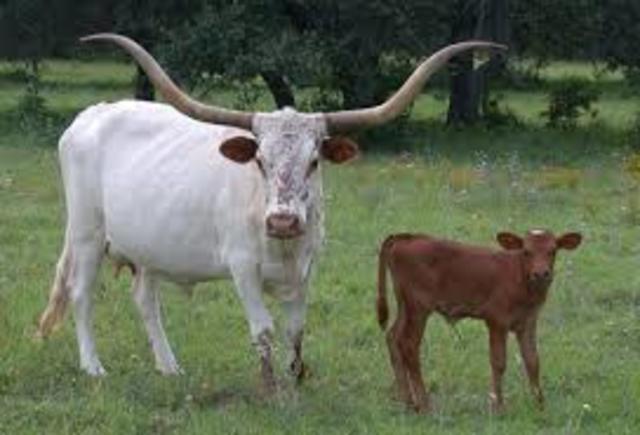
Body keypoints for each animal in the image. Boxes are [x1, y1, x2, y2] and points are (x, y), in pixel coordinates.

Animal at [36, 33, 503, 391]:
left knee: (145, 300)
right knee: (81, 294)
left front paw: (297, 380)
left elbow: (296, 329)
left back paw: (169, 367)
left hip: (148, 247)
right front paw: (271, 388)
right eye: (260, 160)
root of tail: (92, 114)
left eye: (314, 161)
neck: (284, 246)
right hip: (87, 233)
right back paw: (93, 367)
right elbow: (263, 329)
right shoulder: (242, 266)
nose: (282, 220)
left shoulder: (308, 268)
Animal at [376, 230, 582, 412]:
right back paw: (424, 405)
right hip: (418, 307)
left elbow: (533, 361)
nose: (541, 274)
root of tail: (408, 237)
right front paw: (498, 406)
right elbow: (499, 362)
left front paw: (540, 406)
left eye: (553, 250)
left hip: (405, 304)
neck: (520, 279)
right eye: (526, 251)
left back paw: (408, 403)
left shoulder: (528, 322)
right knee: (409, 345)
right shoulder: (497, 321)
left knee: (393, 337)